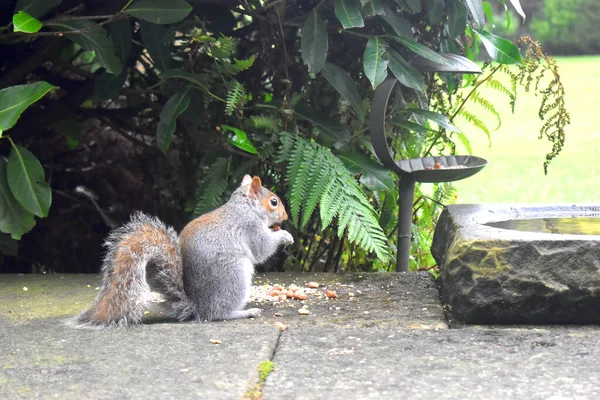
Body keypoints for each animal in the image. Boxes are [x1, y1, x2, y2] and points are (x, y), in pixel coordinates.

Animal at [70, 175, 292, 328]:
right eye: (273, 202)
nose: (286, 217)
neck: (246, 207)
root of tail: (197, 306)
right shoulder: (250, 228)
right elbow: (262, 247)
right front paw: (285, 236)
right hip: (235, 277)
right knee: (218, 313)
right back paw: (244, 312)